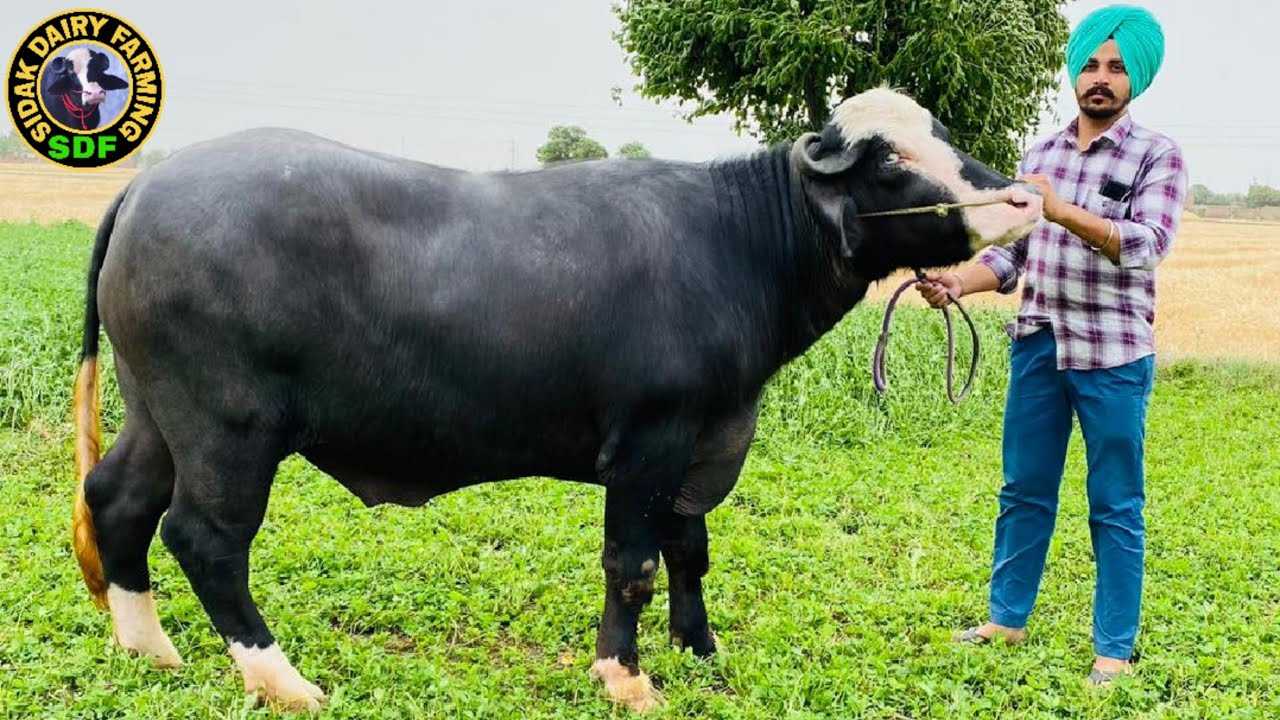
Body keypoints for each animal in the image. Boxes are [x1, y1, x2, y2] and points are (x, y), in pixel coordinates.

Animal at [71, 87, 1042, 712]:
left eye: (941, 131)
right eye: (890, 158)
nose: (1022, 198)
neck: (736, 245)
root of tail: (149, 185)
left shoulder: (705, 440)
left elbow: (690, 551)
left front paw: (700, 648)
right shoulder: (648, 443)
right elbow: (633, 563)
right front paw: (627, 676)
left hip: (157, 414)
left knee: (117, 501)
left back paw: (148, 647)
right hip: (228, 426)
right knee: (205, 538)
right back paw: (282, 681)